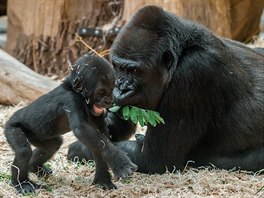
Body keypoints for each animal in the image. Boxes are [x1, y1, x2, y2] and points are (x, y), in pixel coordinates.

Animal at [4, 53, 136, 193]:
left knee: (53, 145)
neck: (74, 91)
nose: (109, 101)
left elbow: (100, 140)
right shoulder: (71, 100)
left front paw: (103, 179)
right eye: (101, 91)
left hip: (36, 136)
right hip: (11, 128)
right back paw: (22, 183)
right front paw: (121, 163)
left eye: (111, 89)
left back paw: (34, 167)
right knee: (23, 151)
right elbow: (82, 129)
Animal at [69, 5, 264, 173]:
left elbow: (153, 159)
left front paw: (81, 149)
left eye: (135, 71)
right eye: (118, 67)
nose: (121, 88)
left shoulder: (194, 71)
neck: (182, 52)